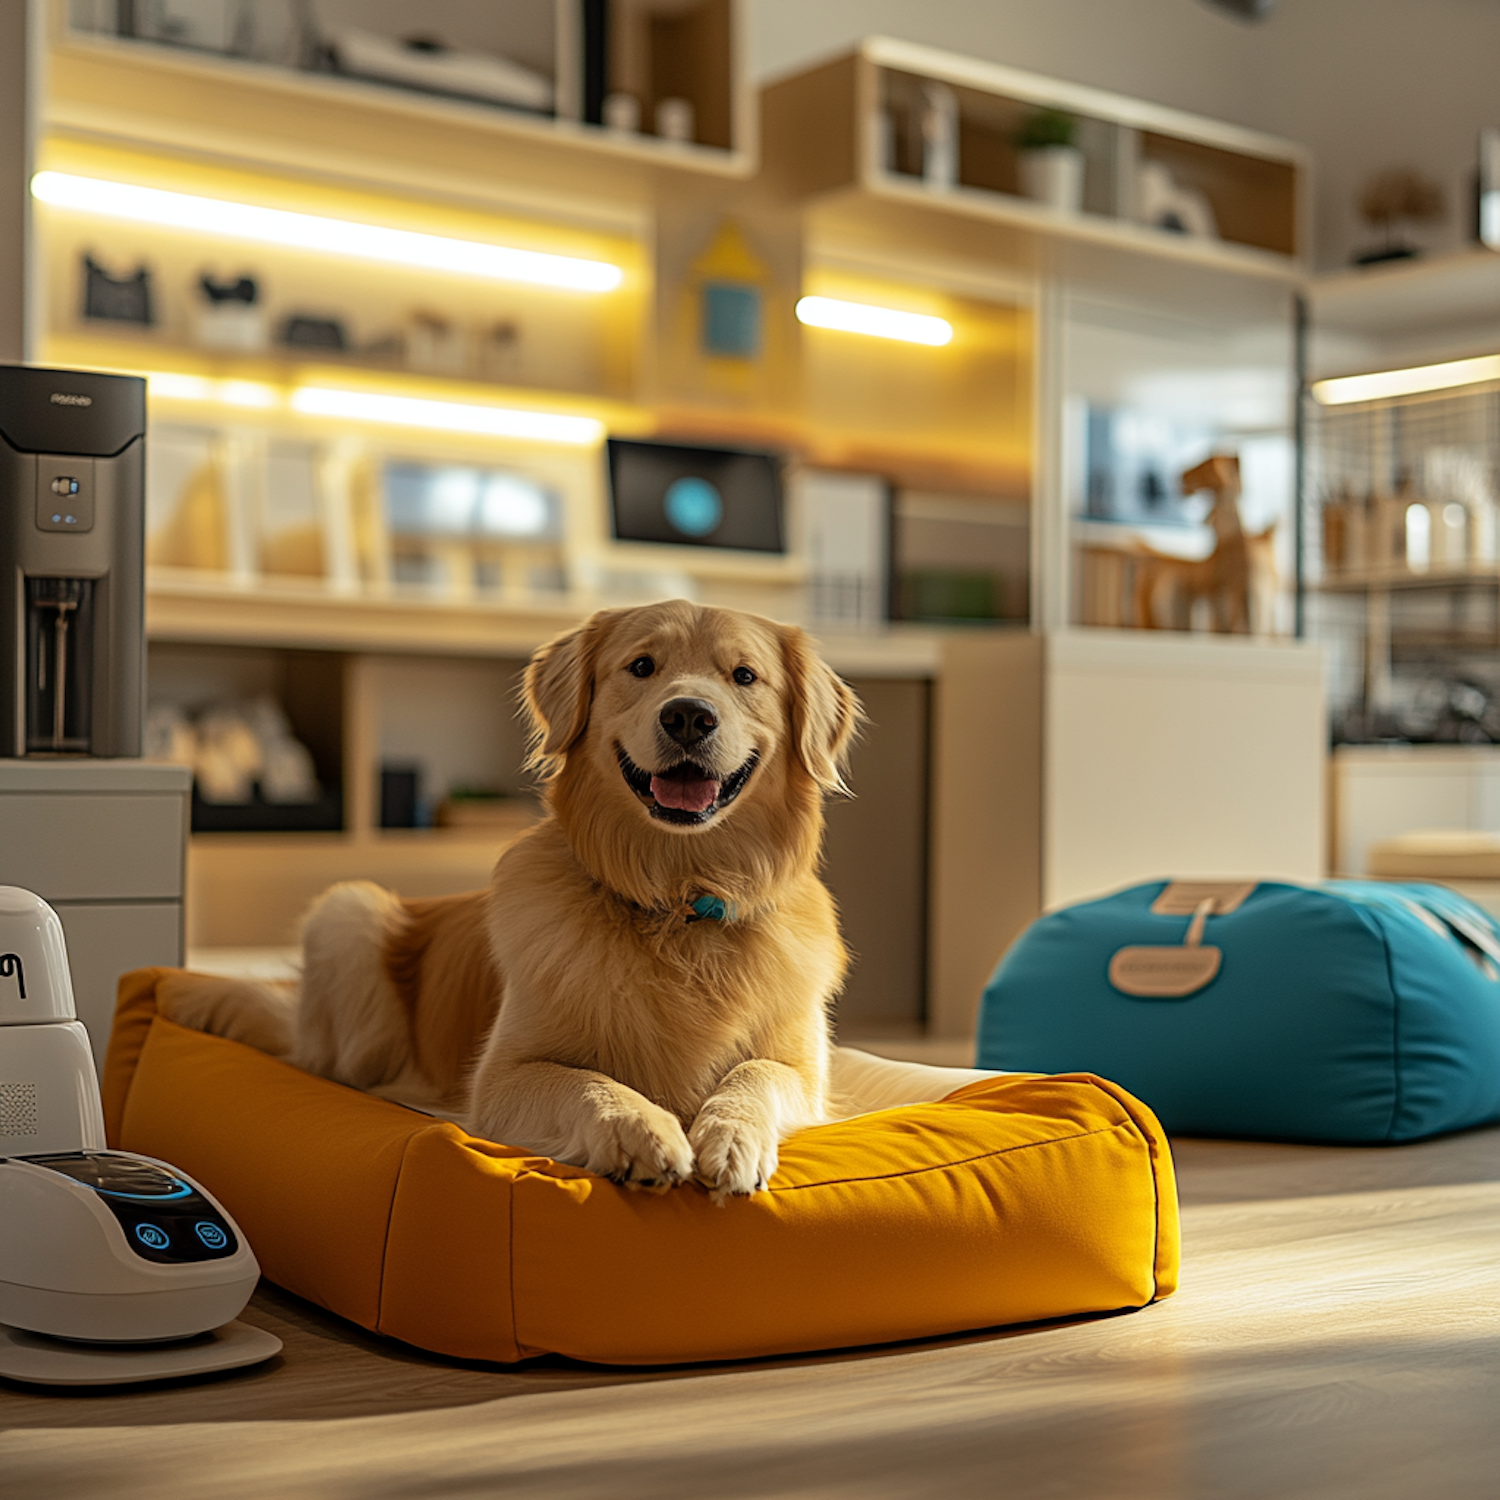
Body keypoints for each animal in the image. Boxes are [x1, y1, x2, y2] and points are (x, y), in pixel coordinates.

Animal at [167, 597, 870, 1194]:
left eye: (745, 676)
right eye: (642, 666)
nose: (689, 715)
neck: (677, 899)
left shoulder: (805, 1071)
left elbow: (756, 1075)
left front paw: (731, 1140)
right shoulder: (503, 1076)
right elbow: (586, 1083)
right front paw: (645, 1132)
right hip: (348, 916)